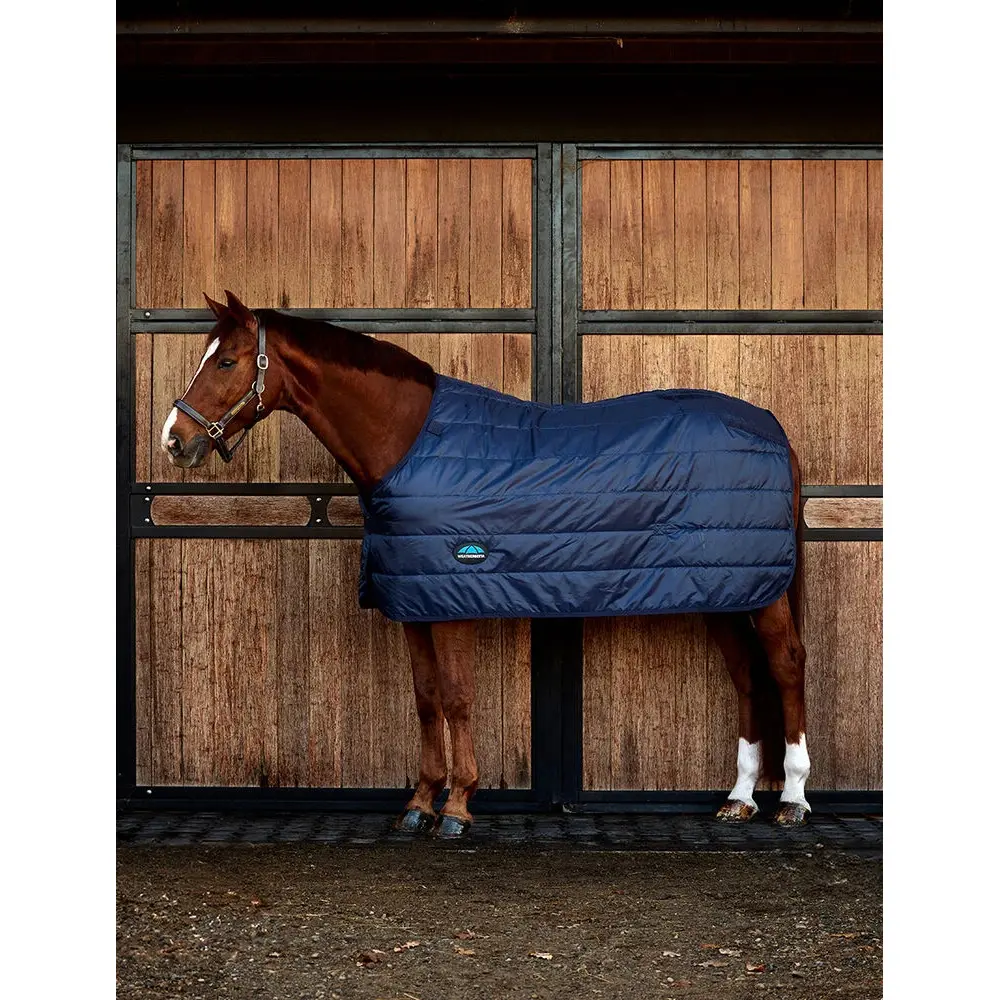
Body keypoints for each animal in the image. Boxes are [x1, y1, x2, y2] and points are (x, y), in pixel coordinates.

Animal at [160, 289, 811, 837]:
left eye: (227, 362)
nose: (173, 440)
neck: (408, 444)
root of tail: (774, 430)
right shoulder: (415, 601)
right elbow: (426, 698)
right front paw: (420, 803)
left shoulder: (453, 595)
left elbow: (455, 697)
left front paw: (457, 806)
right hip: (723, 589)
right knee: (746, 674)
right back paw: (739, 798)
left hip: (763, 592)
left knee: (784, 665)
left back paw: (793, 799)